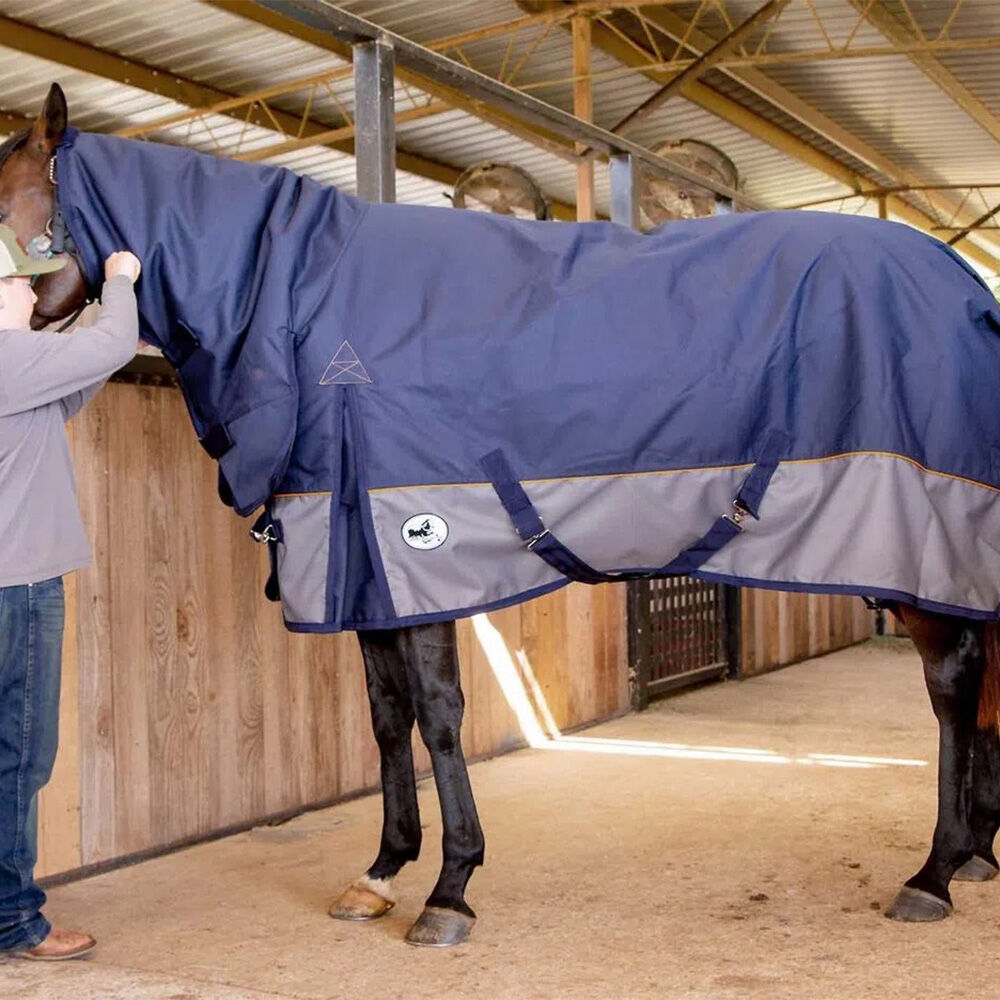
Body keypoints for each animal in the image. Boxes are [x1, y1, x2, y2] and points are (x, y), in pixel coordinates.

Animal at [3, 84, 1000, 948]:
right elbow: (387, 718)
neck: (302, 305)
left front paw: (450, 891)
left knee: (953, 685)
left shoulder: (415, 557)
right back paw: (975, 855)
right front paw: (381, 872)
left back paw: (934, 873)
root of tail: (964, 286)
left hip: (919, 549)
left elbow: (440, 716)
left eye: (5, 200)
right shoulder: (365, 572)